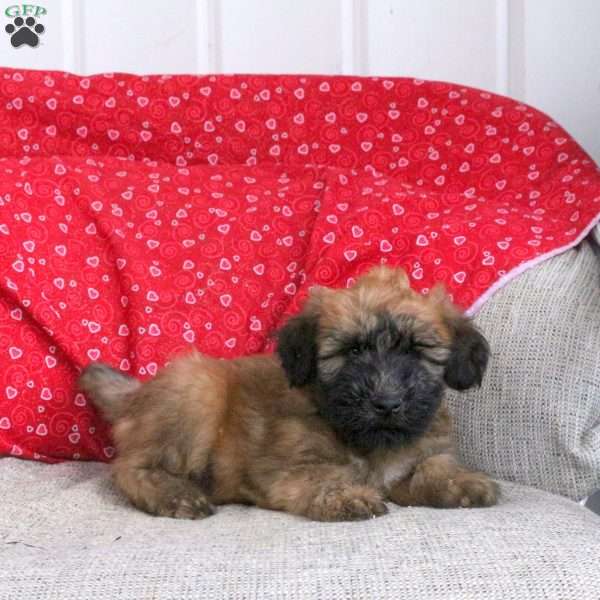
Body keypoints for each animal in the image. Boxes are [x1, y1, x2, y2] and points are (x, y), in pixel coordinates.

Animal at [82, 268, 500, 520]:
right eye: (353, 351)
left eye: (416, 351)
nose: (386, 403)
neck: (367, 442)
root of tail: (135, 396)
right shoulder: (290, 470)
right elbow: (326, 476)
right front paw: (348, 496)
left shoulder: (416, 458)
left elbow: (432, 467)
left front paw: (463, 483)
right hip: (196, 389)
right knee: (129, 467)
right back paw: (177, 494)